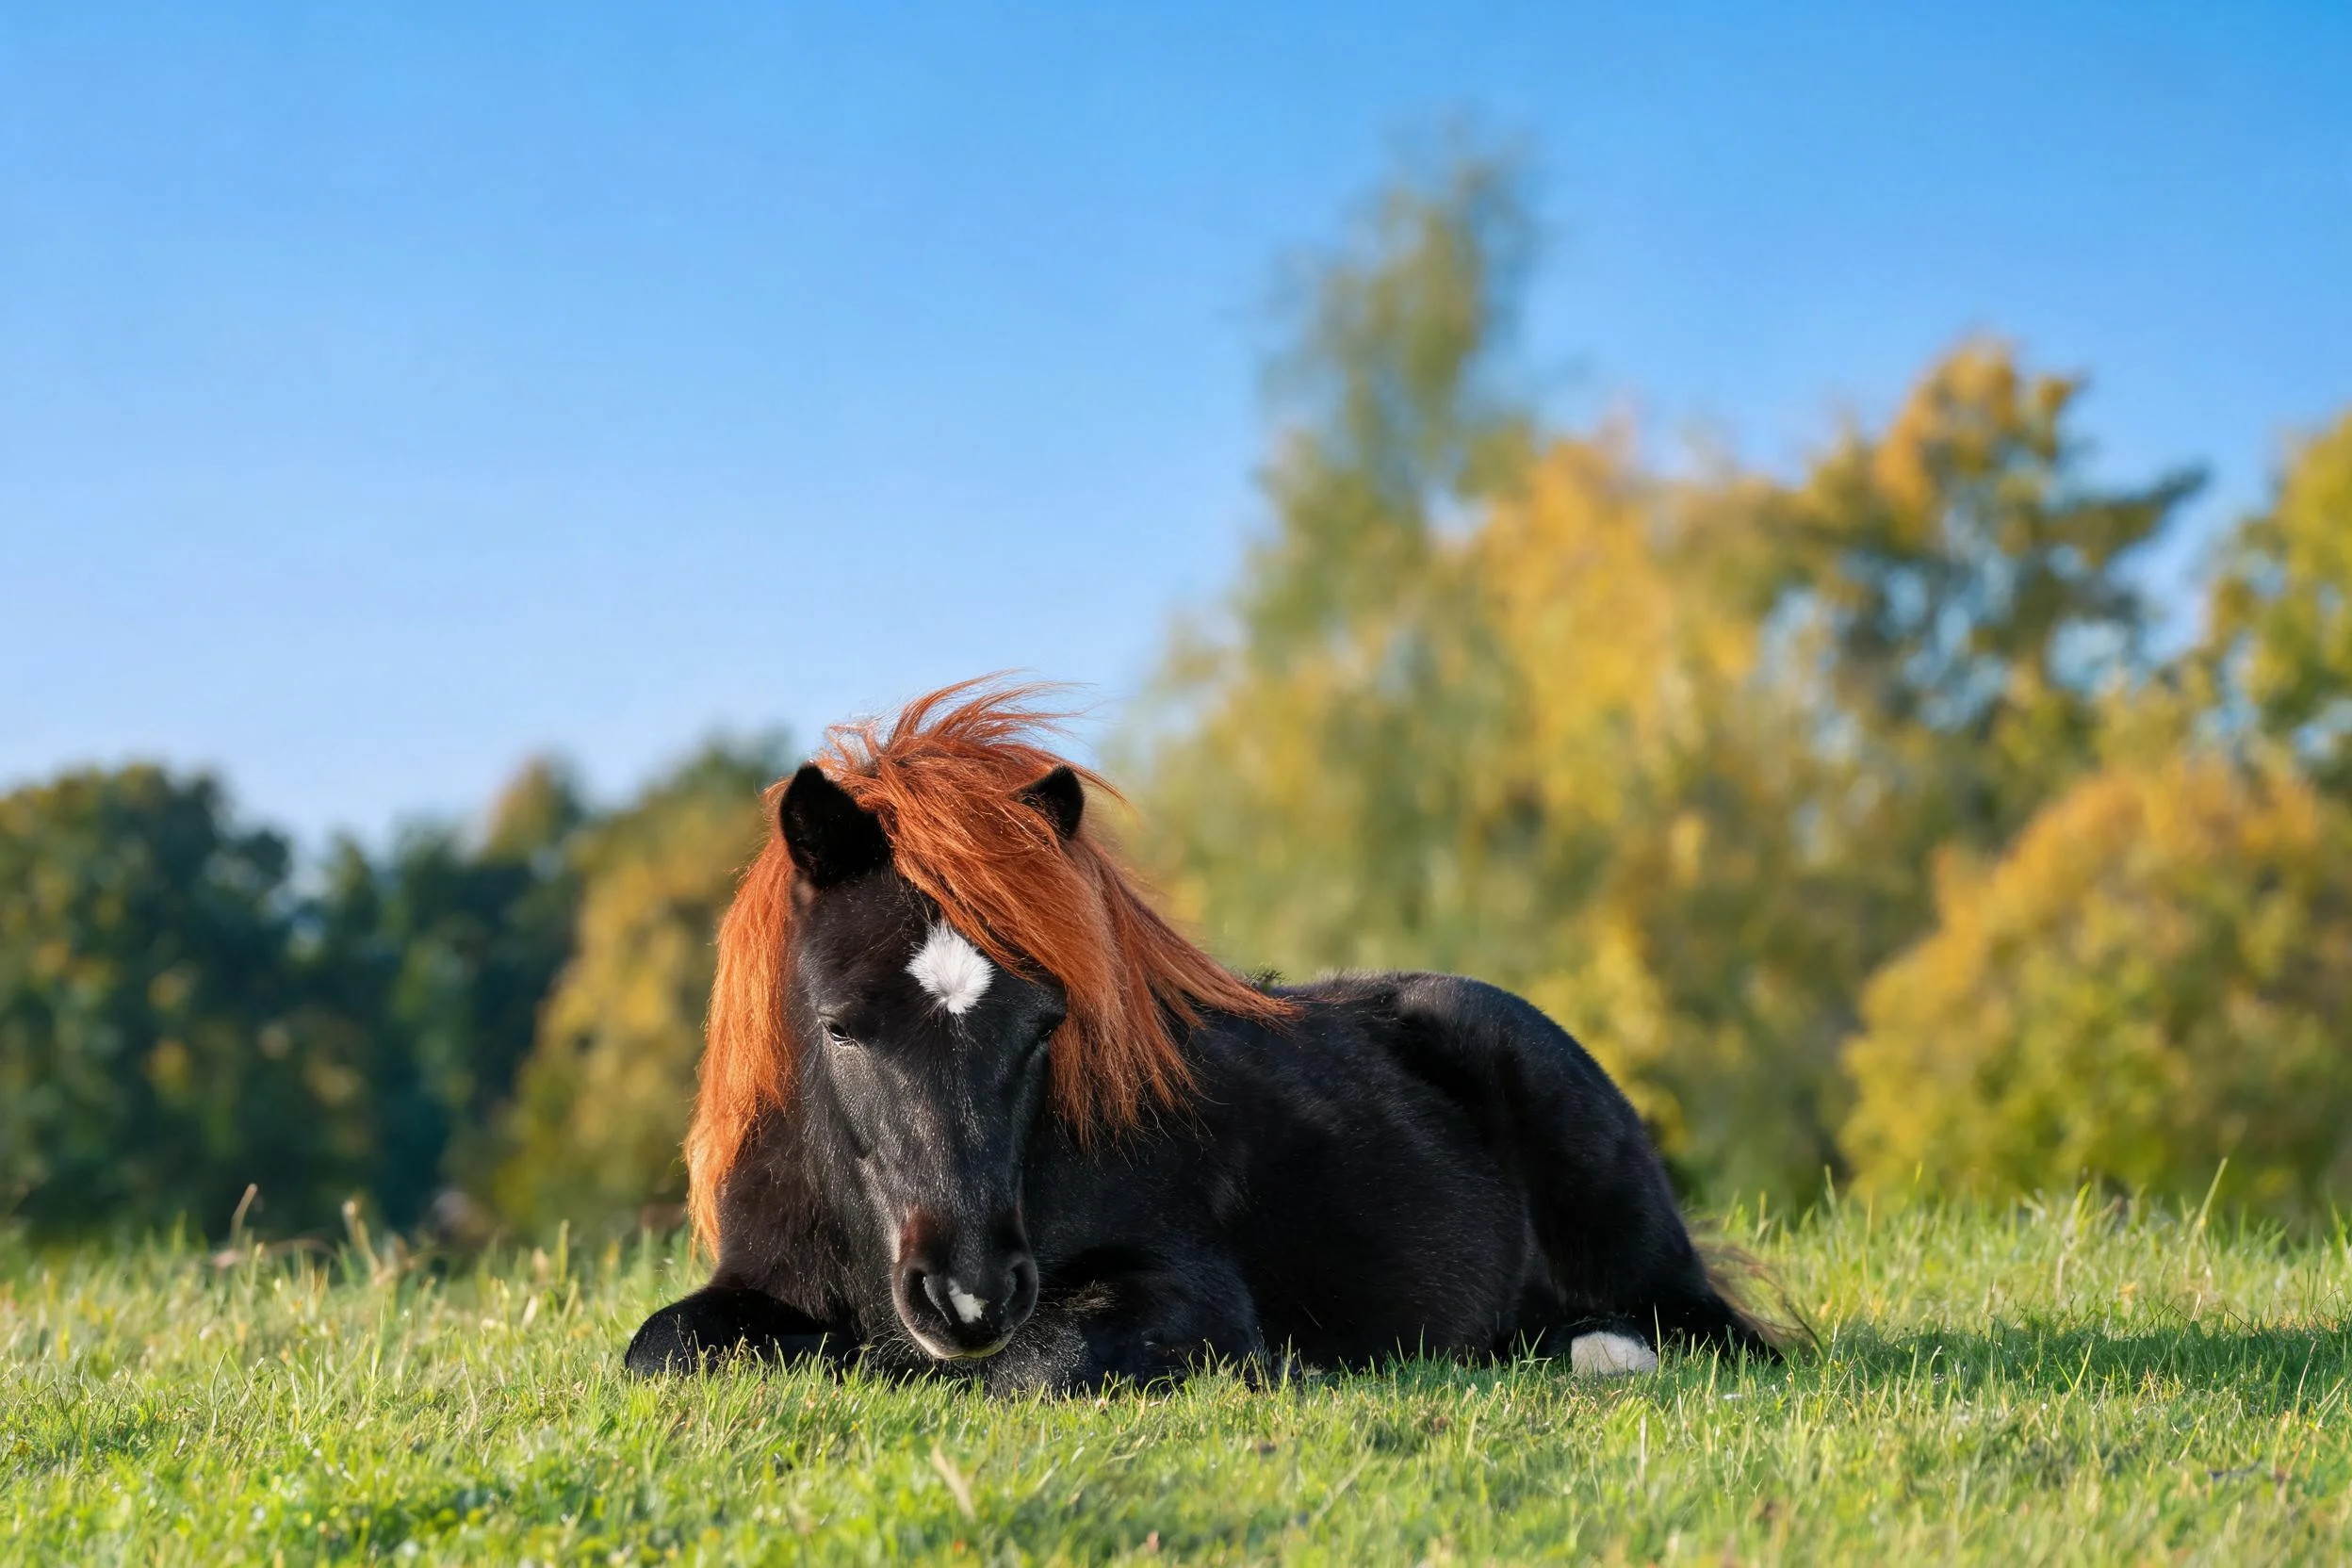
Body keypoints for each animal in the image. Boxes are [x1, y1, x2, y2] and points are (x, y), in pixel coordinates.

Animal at [626, 682, 1778, 1390]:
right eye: (840, 1026)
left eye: (1045, 1026)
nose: (969, 1295)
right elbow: (661, 1344)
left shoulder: (1181, 1291)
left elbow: (1033, 1363)